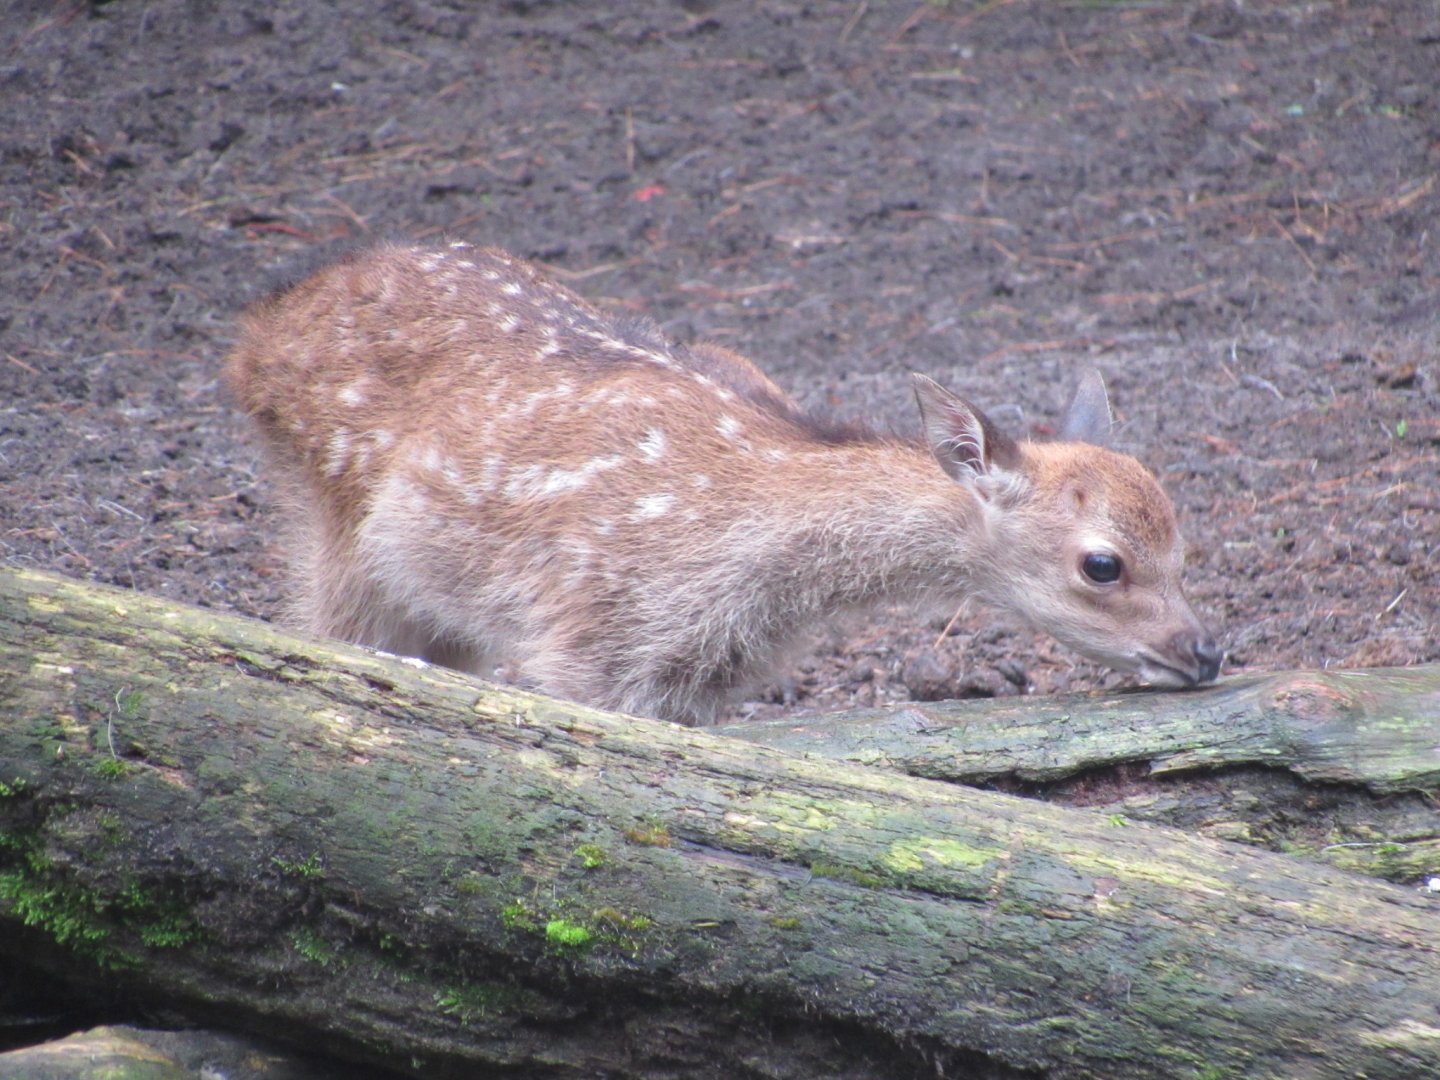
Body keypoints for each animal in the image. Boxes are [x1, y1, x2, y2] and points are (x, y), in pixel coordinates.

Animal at [226, 241, 1221, 725]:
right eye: (1102, 564)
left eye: (1184, 545)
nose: (1206, 651)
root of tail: (257, 329)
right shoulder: (585, 639)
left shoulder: (693, 683)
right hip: (337, 522)